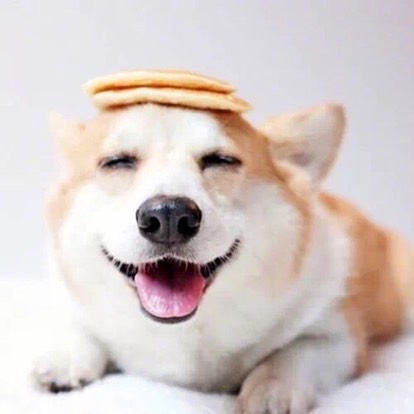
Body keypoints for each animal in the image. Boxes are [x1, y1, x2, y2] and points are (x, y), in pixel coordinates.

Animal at [32, 101, 414, 414]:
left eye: (220, 160)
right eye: (117, 162)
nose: (168, 216)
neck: (186, 331)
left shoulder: (343, 338)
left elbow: (295, 352)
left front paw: (272, 388)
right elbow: (77, 323)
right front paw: (66, 357)